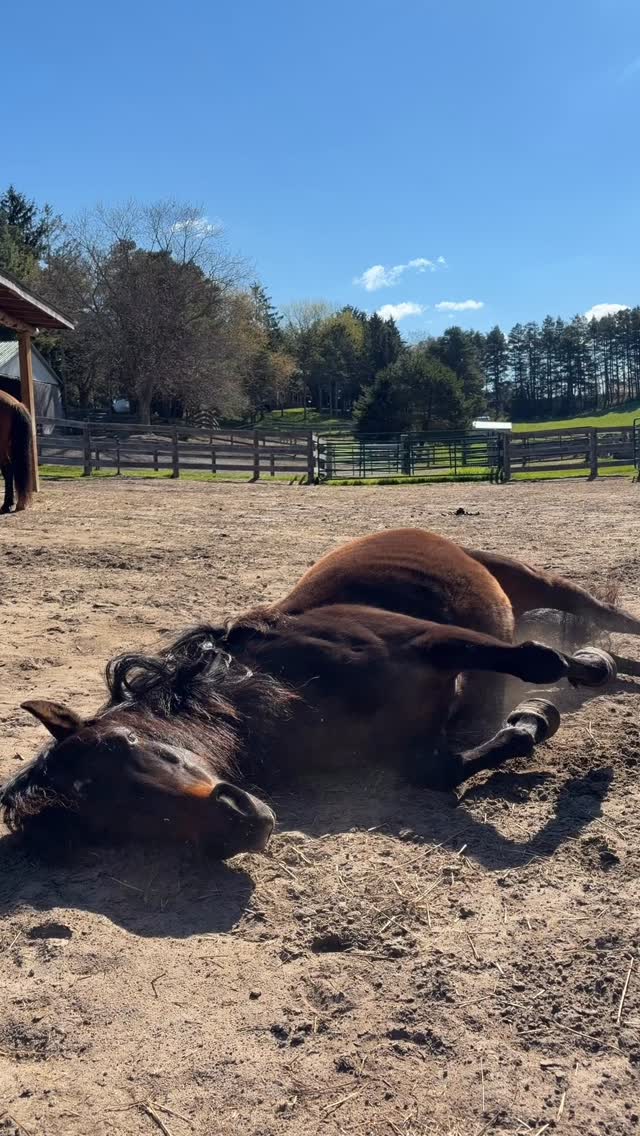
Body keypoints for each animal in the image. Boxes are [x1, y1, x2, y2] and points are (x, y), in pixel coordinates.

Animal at [2, 527, 640, 858]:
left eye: (121, 747)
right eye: (103, 831)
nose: (236, 826)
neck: (281, 687)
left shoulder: (431, 641)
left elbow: (539, 660)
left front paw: (584, 671)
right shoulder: (414, 746)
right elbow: (437, 771)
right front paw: (532, 720)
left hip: (530, 580)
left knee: (602, 616)